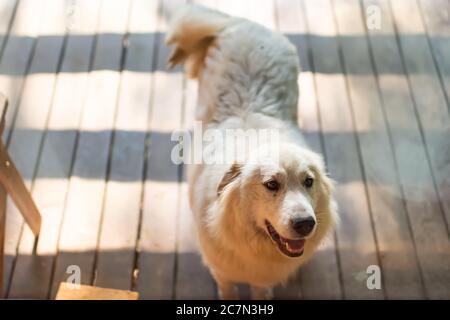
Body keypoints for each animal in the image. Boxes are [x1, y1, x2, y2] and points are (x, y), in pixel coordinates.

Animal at [165, 4, 338, 300]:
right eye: (271, 184)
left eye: (309, 182)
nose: (305, 224)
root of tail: (244, 24)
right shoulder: (222, 272)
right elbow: (228, 292)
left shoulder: (263, 278)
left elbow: (261, 292)